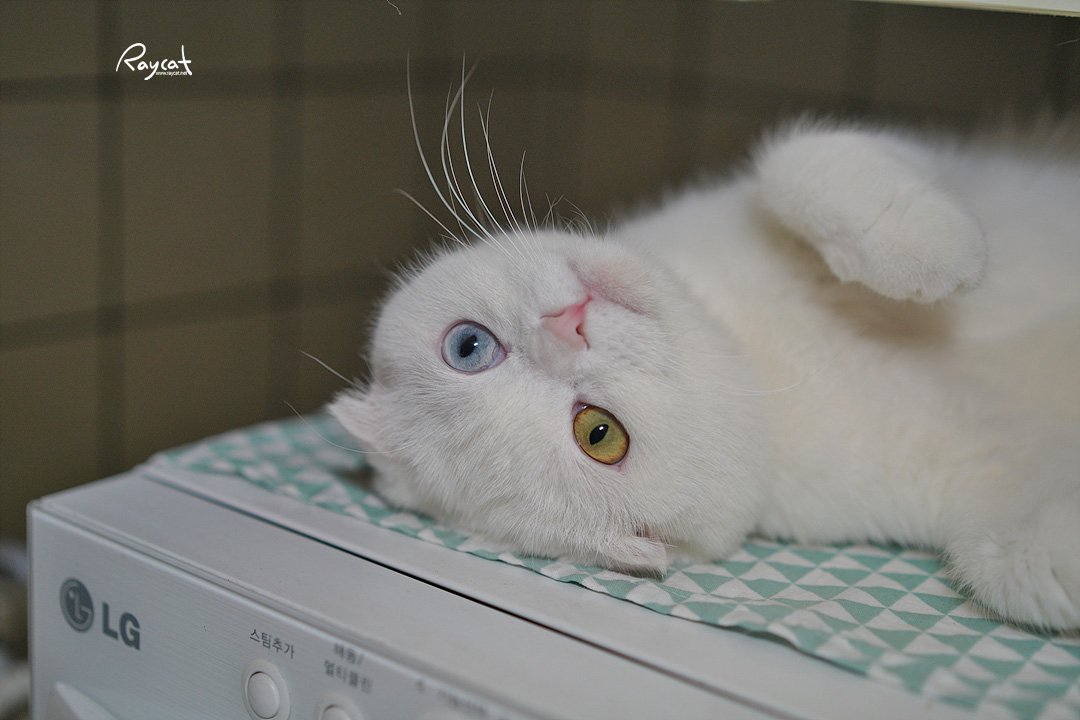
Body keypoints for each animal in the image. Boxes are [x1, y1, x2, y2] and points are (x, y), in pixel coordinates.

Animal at [329, 101, 1080, 632]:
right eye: (599, 435)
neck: (757, 348)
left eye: (467, 347)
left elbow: (797, 161)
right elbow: (1017, 568)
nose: (566, 326)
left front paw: (935, 248)